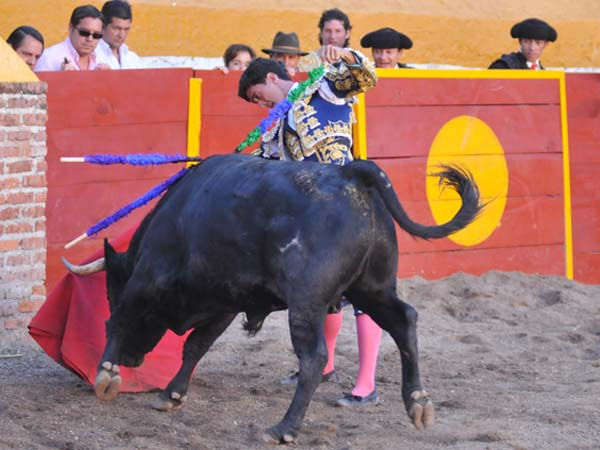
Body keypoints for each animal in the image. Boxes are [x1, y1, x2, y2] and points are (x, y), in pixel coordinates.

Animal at [63, 153, 482, 443]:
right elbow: (197, 345)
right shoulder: (226, 301)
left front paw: (107, 374)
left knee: (314, 358)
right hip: (373, 288)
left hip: (307, 302)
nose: (131, 359)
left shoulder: (148, 276)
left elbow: (119, 320)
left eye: (111, 289)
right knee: (404, 321)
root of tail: (351, 174)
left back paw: (284, 428)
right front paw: (172, 393)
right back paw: (419, 403)